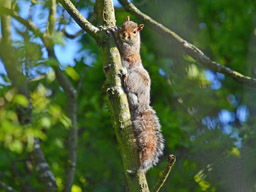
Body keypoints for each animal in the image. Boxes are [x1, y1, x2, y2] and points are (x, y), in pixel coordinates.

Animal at [115, 16, 164, 172]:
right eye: (123, 25)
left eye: (135, 31)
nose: (123, 34)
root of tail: (144, 104)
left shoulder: (130, 50)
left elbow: (123, 48)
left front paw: (112, 33)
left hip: (136, 79)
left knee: (131, 88)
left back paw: (125, 77)